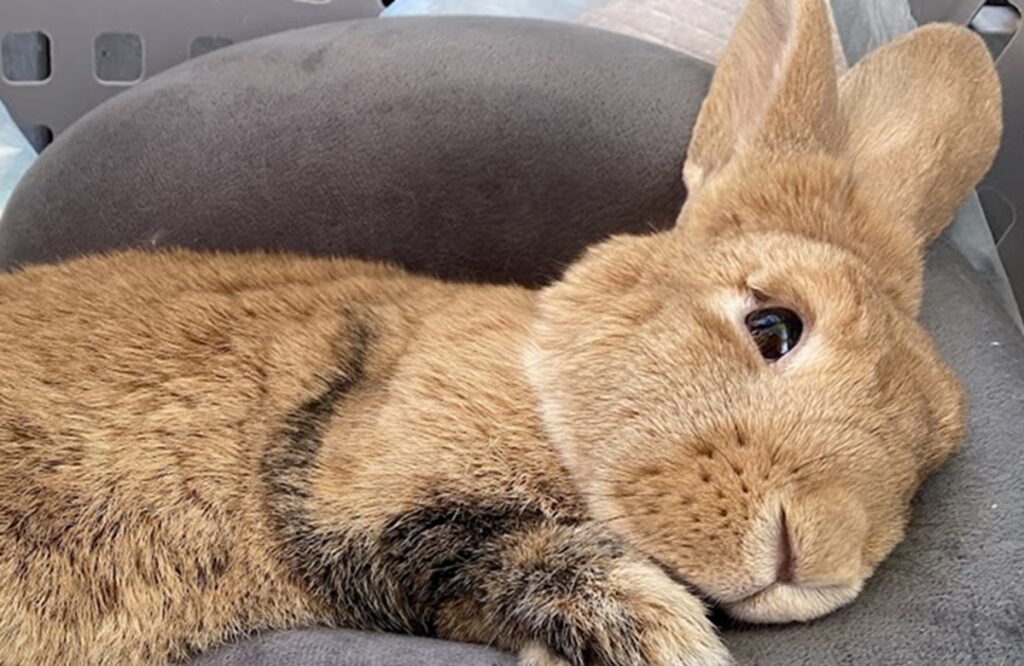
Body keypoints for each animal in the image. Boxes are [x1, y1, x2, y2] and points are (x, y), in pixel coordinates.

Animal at [0, 0, 1002, 664]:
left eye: (930, 462)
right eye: (773, 325)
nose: (817, 559)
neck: (544, 383)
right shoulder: (353, 485)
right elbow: (491, 549)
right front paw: (664, 638)